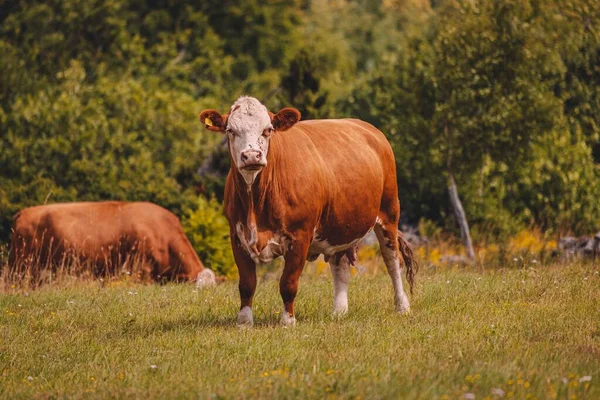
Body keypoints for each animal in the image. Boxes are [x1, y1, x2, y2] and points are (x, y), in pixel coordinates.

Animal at [199, 95, 414, 326]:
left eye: (268, 129)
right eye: (230, 130)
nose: (251, 155)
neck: (256, 203)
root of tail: (368, 128)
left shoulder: (300, 236)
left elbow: (288, 283)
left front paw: (287, 321)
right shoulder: (237, 236)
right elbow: (247, 283)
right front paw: (244, 322)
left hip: (389, 214)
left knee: (393, 261)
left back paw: (402, 306)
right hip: (339, 226)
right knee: (340, 267)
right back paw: (339, 311)